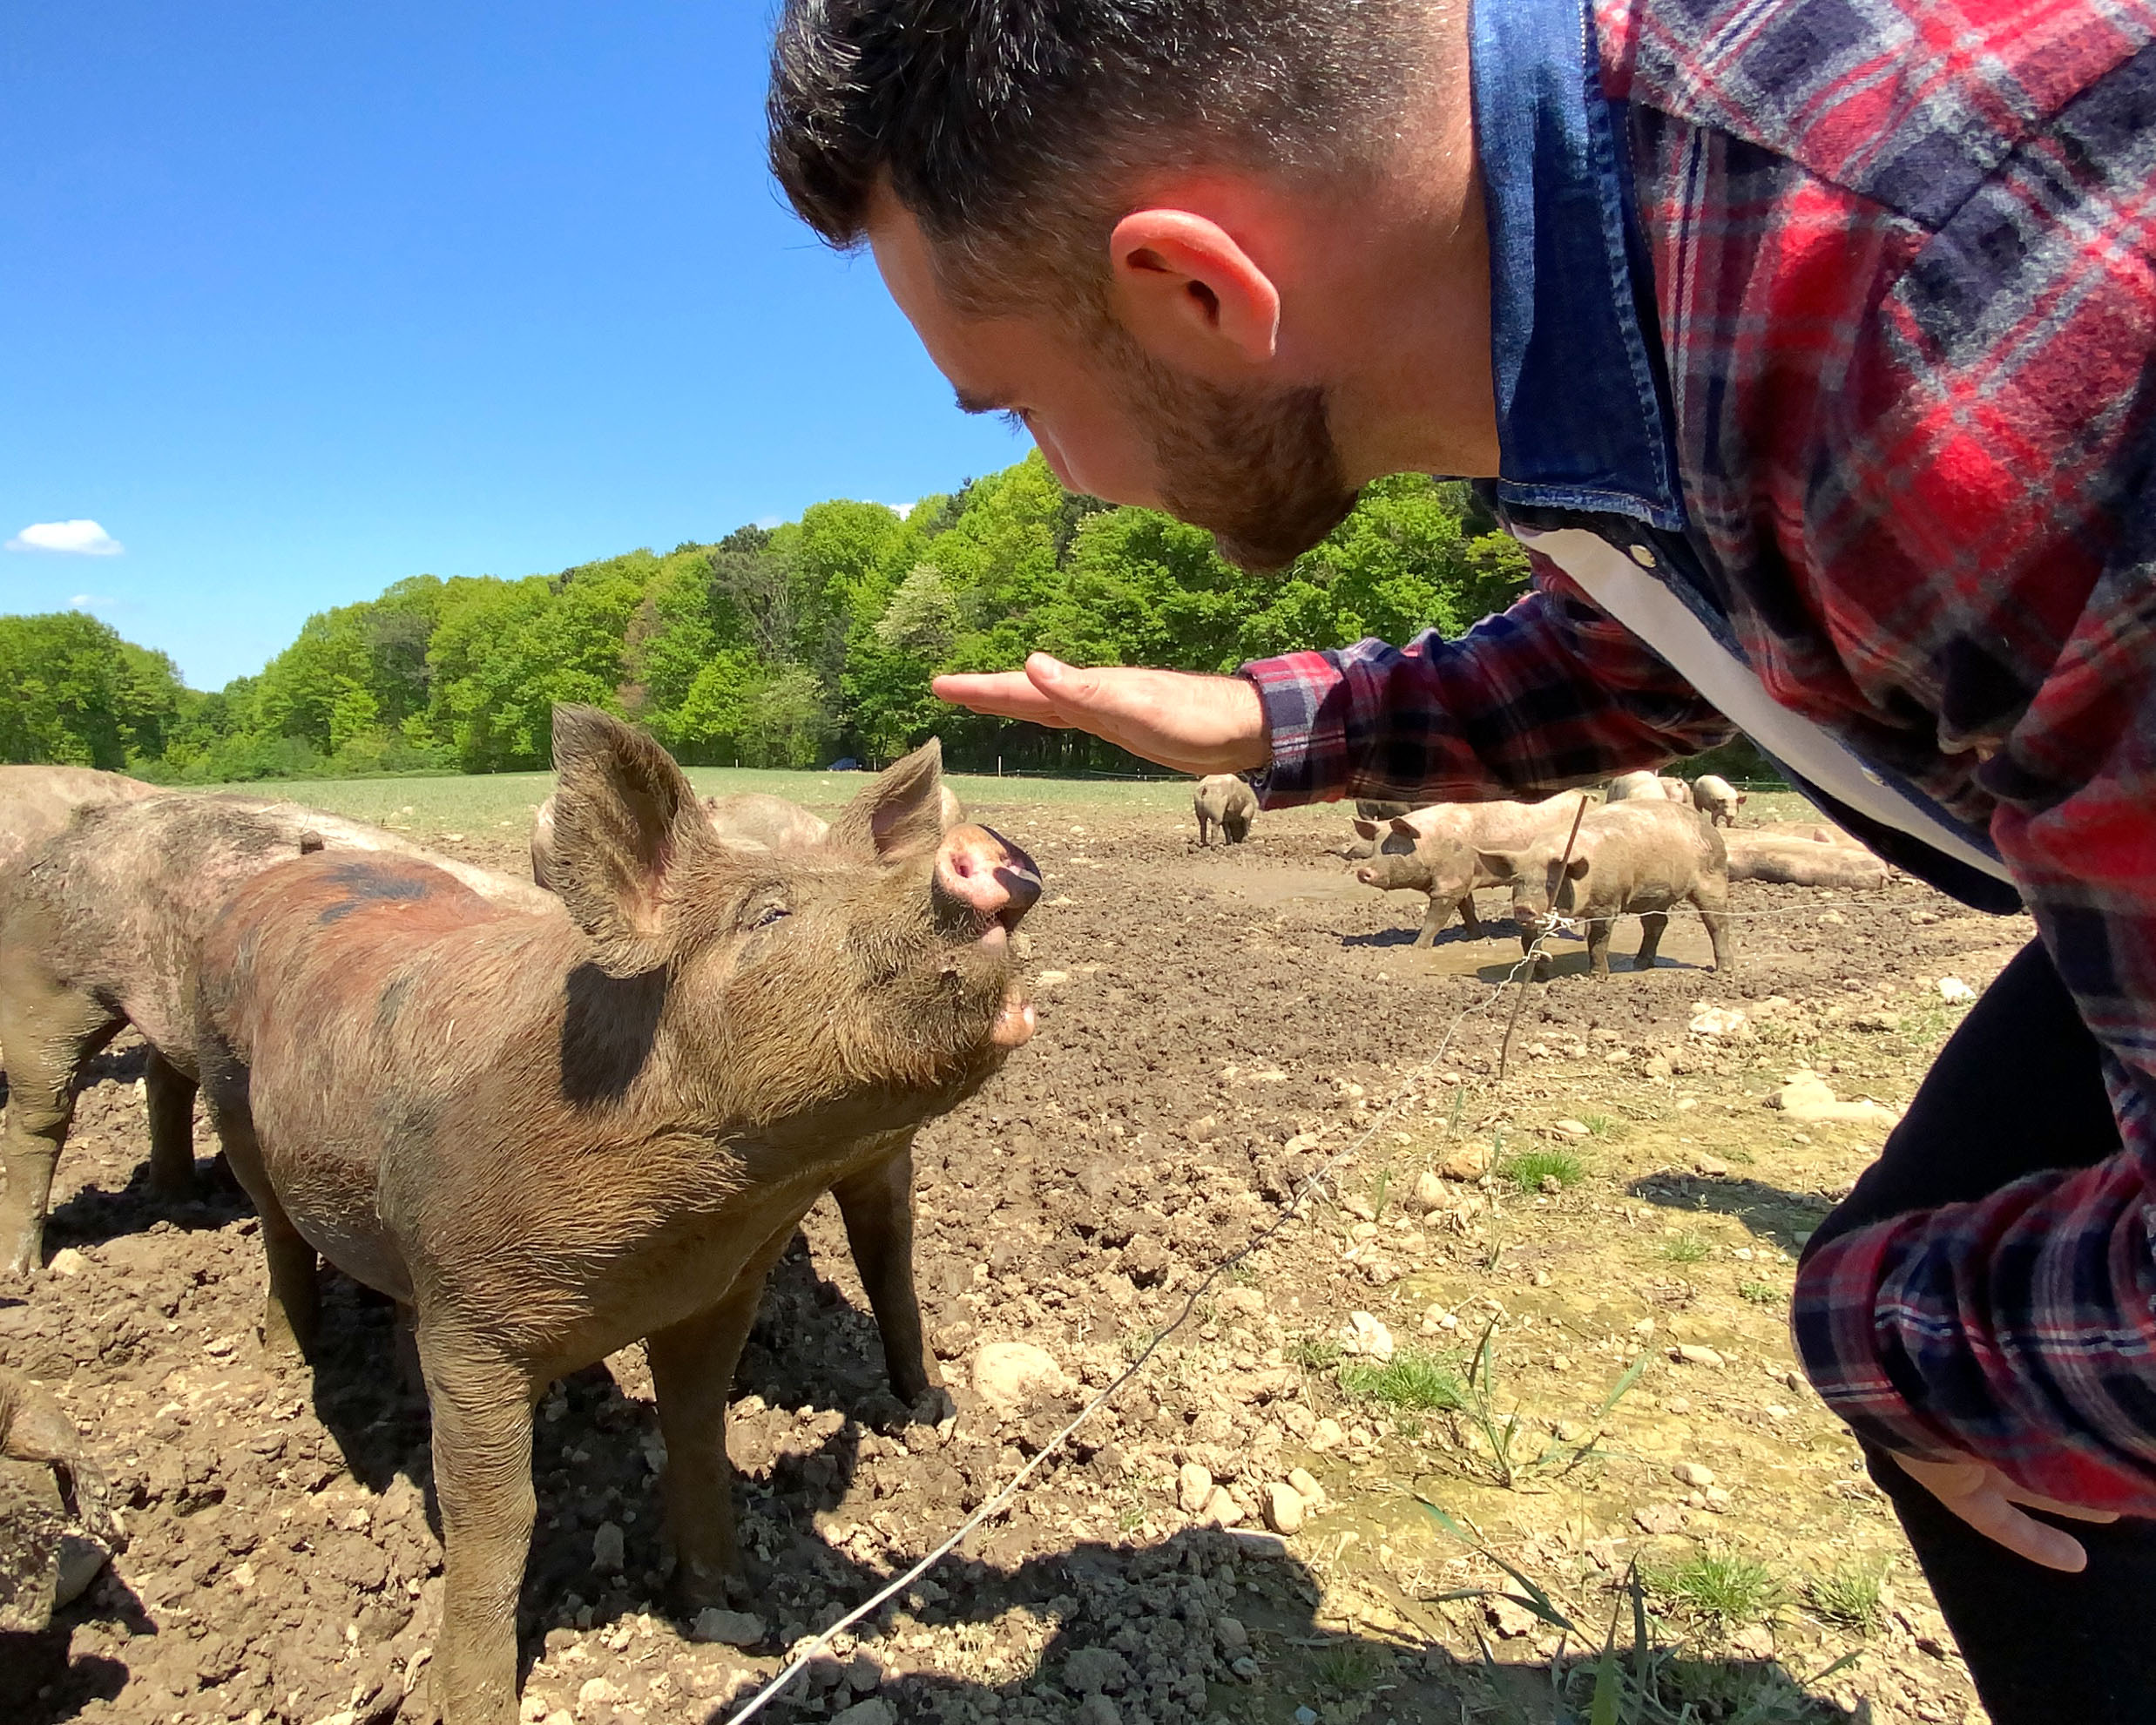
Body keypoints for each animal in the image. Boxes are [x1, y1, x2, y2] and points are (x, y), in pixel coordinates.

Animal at [192, 711, 1035, 1724]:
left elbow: (697, 1429)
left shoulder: (715, 1294)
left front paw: (722, 1600)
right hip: (224, 1086)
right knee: (274, 1227)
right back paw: (285, 1359)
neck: (682, 1233)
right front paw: (474, 1705)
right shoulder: (471, 1322)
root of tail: (283, 874)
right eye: (769, 913)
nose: (987, 849)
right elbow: (495, 1515)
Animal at [1483, 797, 1733, 978]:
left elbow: (1598, 939)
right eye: (1518, 881)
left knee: (1716, 921)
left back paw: (1724, 970)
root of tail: (1711, 829)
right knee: (1656, 923)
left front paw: (1596, 977)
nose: (1524, 907)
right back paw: (1640, 963)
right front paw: (1541, 972)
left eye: (1551, 883)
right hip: (1654, 897)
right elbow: (1528, 941)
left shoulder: (1607, 902)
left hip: (1713, 878)